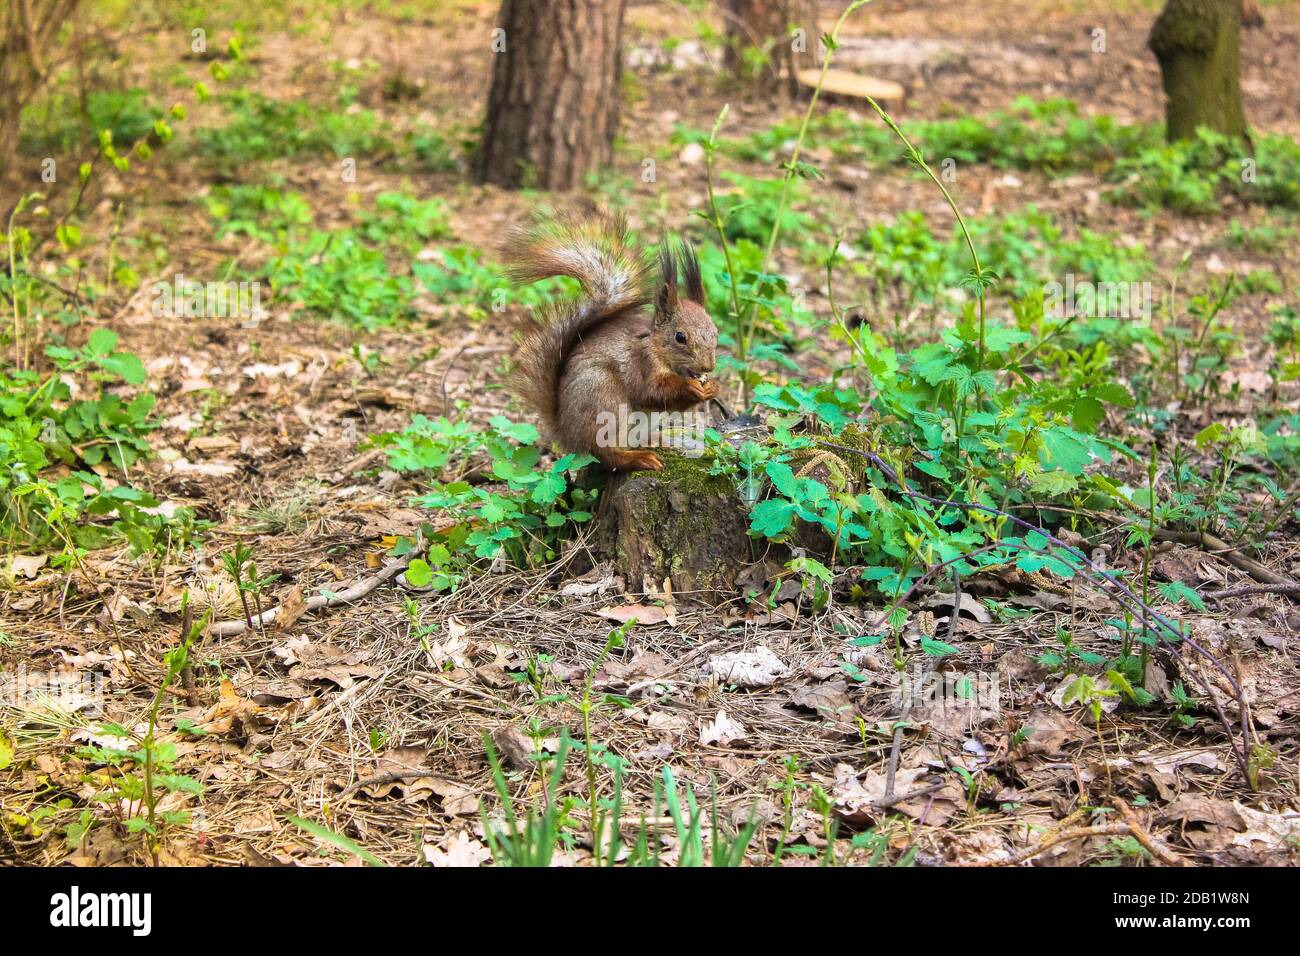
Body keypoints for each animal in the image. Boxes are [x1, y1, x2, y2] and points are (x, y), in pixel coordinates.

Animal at [501, 214, 722, 473]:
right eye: (680, 337)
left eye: (715, 332)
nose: (708, 367)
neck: (659, 351)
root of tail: (568, 435)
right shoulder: (641, 365)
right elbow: (650, 392)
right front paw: (689, 386)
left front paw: (713, 387)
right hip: (606, 401)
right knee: (606, 454)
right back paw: (639, 458)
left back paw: (657, 441)